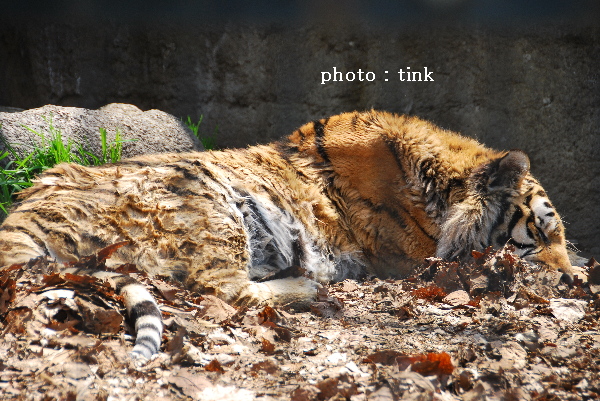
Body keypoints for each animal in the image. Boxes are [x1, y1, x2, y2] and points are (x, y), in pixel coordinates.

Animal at [0, 110, 580, 360]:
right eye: (538, 233)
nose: (575, 281)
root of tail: (25, 207)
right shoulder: (420, 260)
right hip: (207, 198)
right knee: (223, 290)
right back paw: (312, 287)